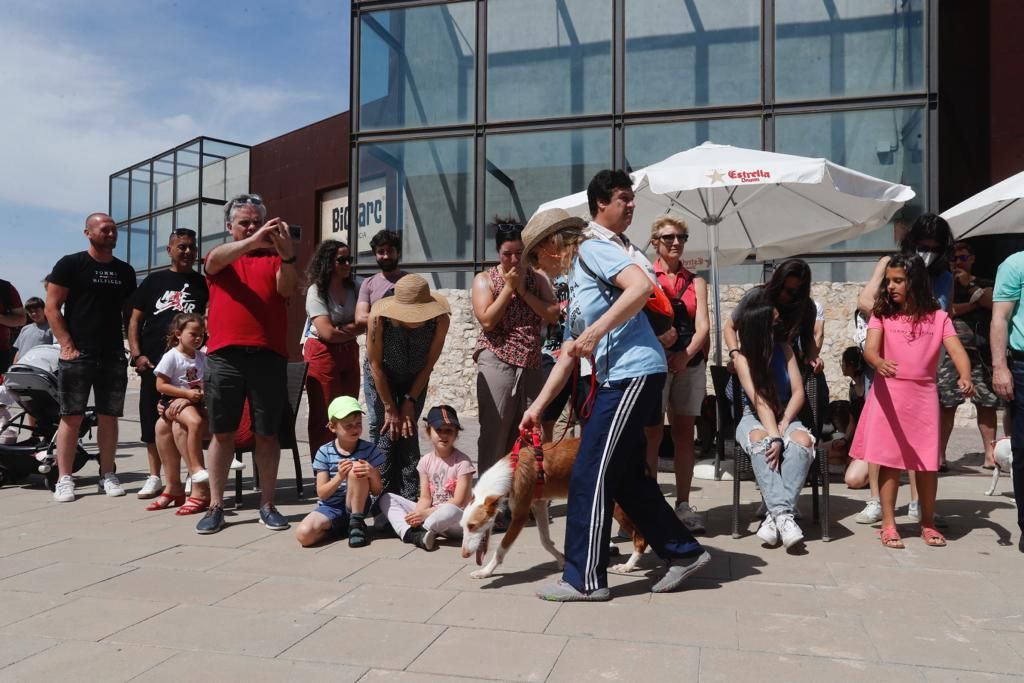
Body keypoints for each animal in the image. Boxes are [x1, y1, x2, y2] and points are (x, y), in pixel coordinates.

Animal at [458, 440, 643, 581]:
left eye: (473, 525)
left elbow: (501, 548)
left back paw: (627, 566)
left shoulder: (520, 515)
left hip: (618, 505)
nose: (464, 554)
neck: (513, 470)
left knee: (640, 538)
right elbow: (545, 541)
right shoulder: (539, 505)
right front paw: (562, 561)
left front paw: (485, 571)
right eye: (463, 527)